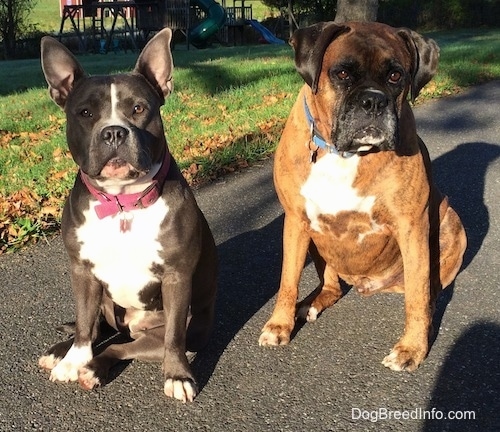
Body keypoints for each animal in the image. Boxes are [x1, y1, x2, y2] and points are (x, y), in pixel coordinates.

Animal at [38, 29, 218, 402]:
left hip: (162, 335)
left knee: (121, 347)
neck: (122, 203)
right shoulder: (83, 271)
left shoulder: (177, 277)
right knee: (94, 327)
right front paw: (71, 359)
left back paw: (93, 369)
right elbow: (84, 324)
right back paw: (63, 353)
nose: (114, 131)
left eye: (138, 109)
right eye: (85, 112)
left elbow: (173, 336)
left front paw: (178, 376)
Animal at [260, 21, 466, 372]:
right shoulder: (296, 221)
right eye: (342, 73)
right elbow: (287, 279)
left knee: (428, 289)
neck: (344, 154)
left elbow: (417, 294)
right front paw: (279, 325)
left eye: (396, 76)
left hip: (451, 222)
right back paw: (311, 304)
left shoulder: (411, 226)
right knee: (331, 285)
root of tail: (369, 282)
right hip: (317, 243)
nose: (373, 101)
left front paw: (412, 348)